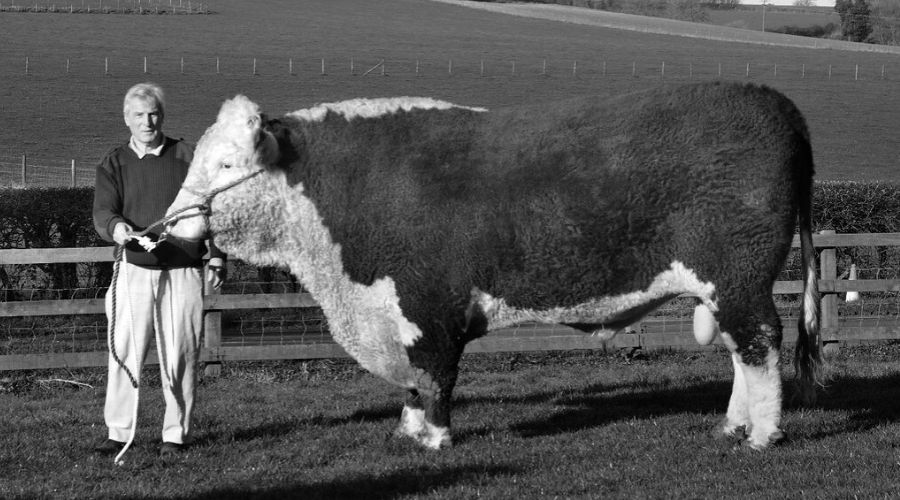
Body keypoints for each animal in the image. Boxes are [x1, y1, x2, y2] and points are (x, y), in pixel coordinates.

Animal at [165, 81, 828, 450]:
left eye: (227, 165)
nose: (171, 224)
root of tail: (771, 101)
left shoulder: (427, 305)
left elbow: (434, 374)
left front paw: (434, 438)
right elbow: (414, 379)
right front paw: (409, 429)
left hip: (738, 274)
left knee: (761, 342)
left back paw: (763, 435)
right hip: (724, 284)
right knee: (742, 350)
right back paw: (733, 426)